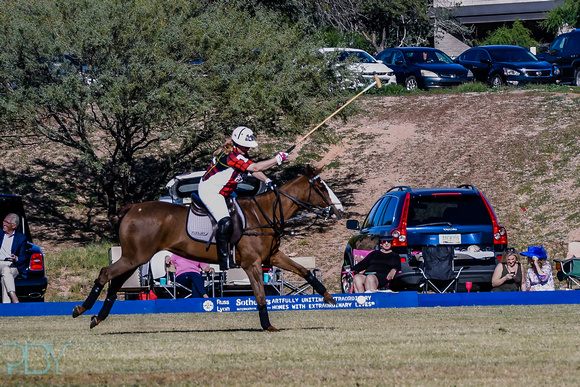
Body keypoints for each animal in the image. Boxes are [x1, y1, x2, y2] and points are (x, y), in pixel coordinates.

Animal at [75, 168, 342, 332]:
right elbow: (260, 295)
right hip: (136, 256)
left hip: (134, 257)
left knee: (115, 282)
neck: (263, 213)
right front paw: (267, 326)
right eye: (321, 187)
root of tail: (131, 208)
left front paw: (329, 298)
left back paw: (97, 317)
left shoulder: (271, 257)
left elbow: (303, 271)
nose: (339, 210)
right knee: (105, 274)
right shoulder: (252, 263)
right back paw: (81, 309)